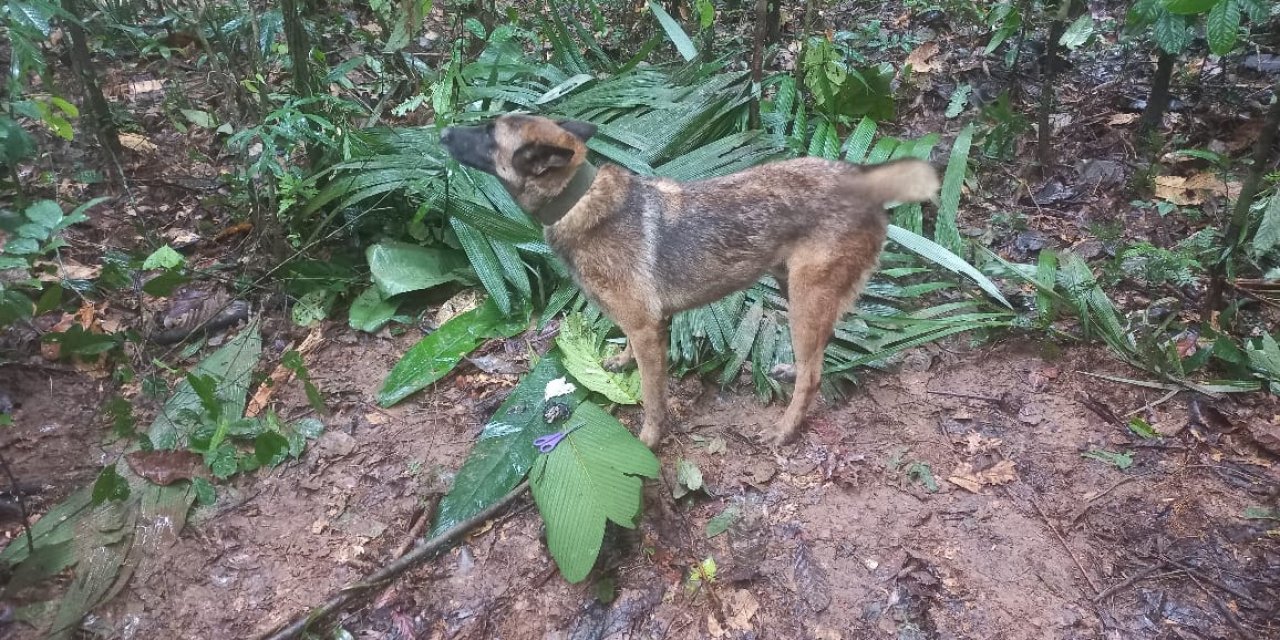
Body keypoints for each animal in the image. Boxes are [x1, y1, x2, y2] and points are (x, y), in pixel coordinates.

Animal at [440, 113, 942, 445]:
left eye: (488, 133)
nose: (442, 131)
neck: (578, 200)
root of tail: (863, 179)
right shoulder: (642, 327)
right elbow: (630, 356)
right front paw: (621, 363)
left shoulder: (648, 329)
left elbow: (652, 397)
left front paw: (648, 440)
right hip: (793, 287)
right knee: (819, 350)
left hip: (805, 296)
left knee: (815, 374)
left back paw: (784, 429)